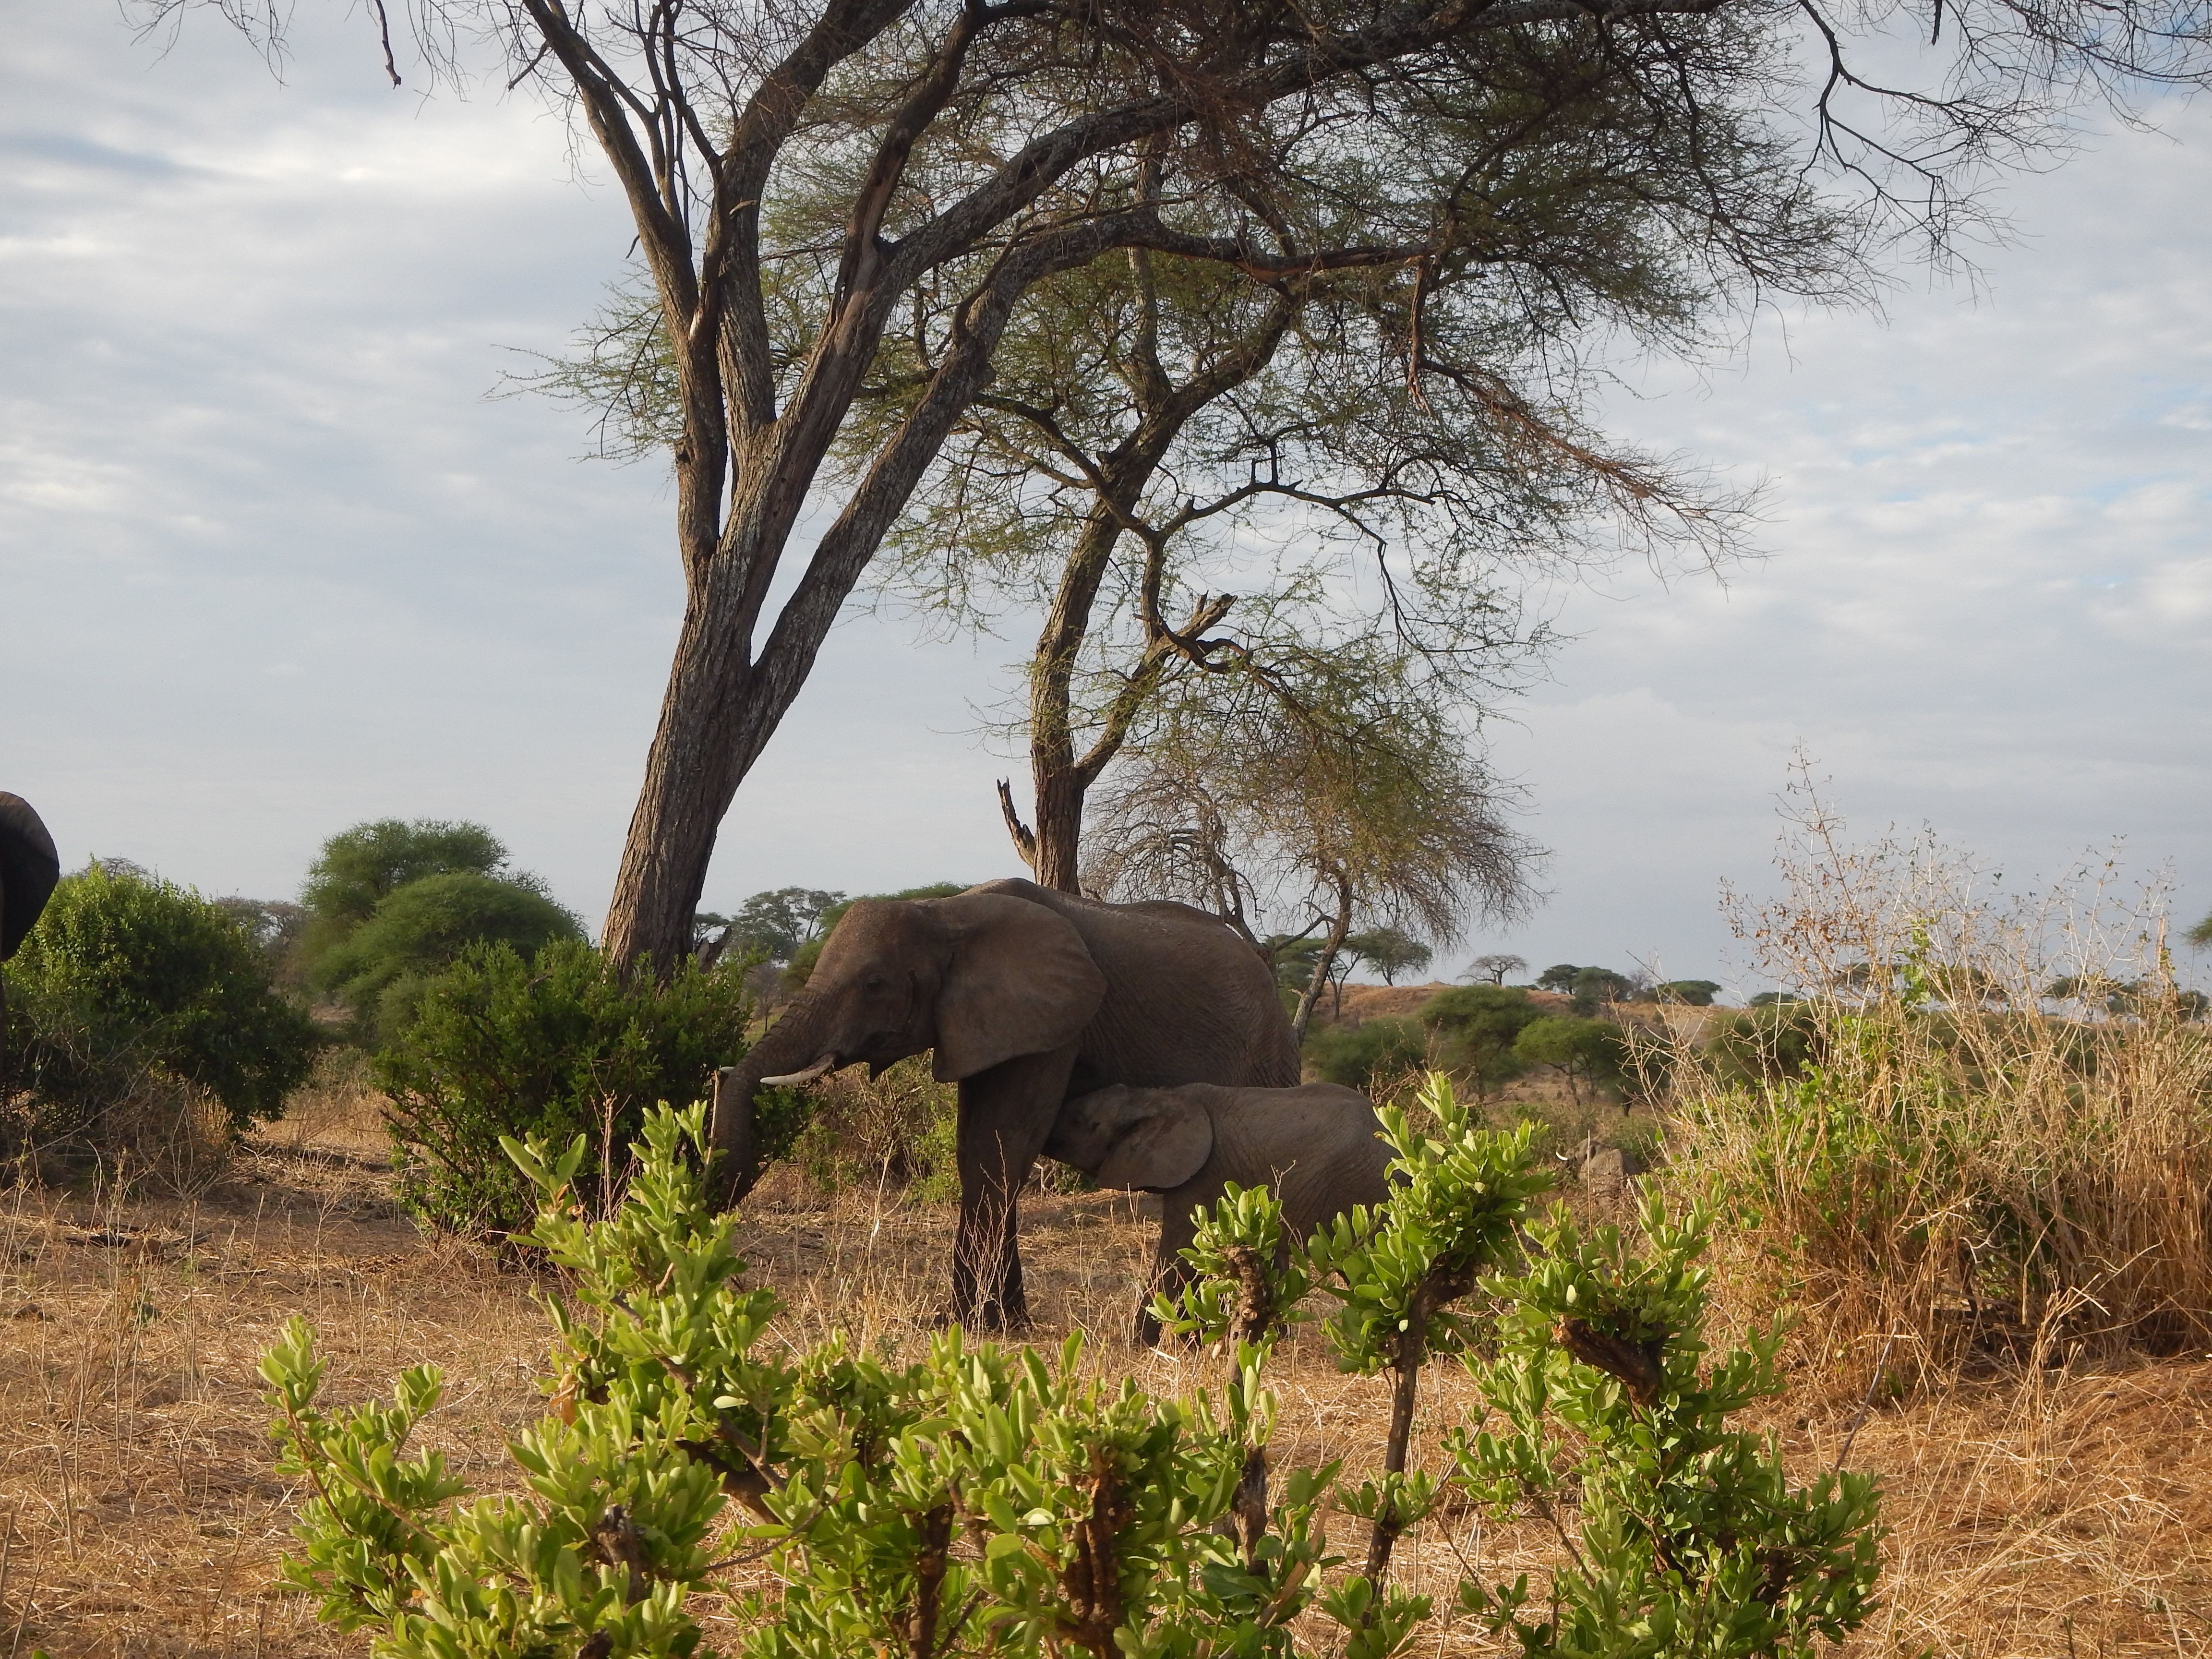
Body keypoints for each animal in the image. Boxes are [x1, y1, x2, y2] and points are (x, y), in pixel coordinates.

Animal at [710, 877, 1299, 1328]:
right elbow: (974, 1146)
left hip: (1267, 1053)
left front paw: (981, 1325)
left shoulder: (1055, 1020)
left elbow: (1001, 1142)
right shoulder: (980, 1025)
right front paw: (989, 1323)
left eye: (875, 983)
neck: (947, 913)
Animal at [1042, 1081, 1398, 1341]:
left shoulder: (1203, 1176)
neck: (1154, 1097)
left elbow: (1178, 1255)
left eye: (1082, 1122)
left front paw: (1142, 1346)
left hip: (1364, 1189)